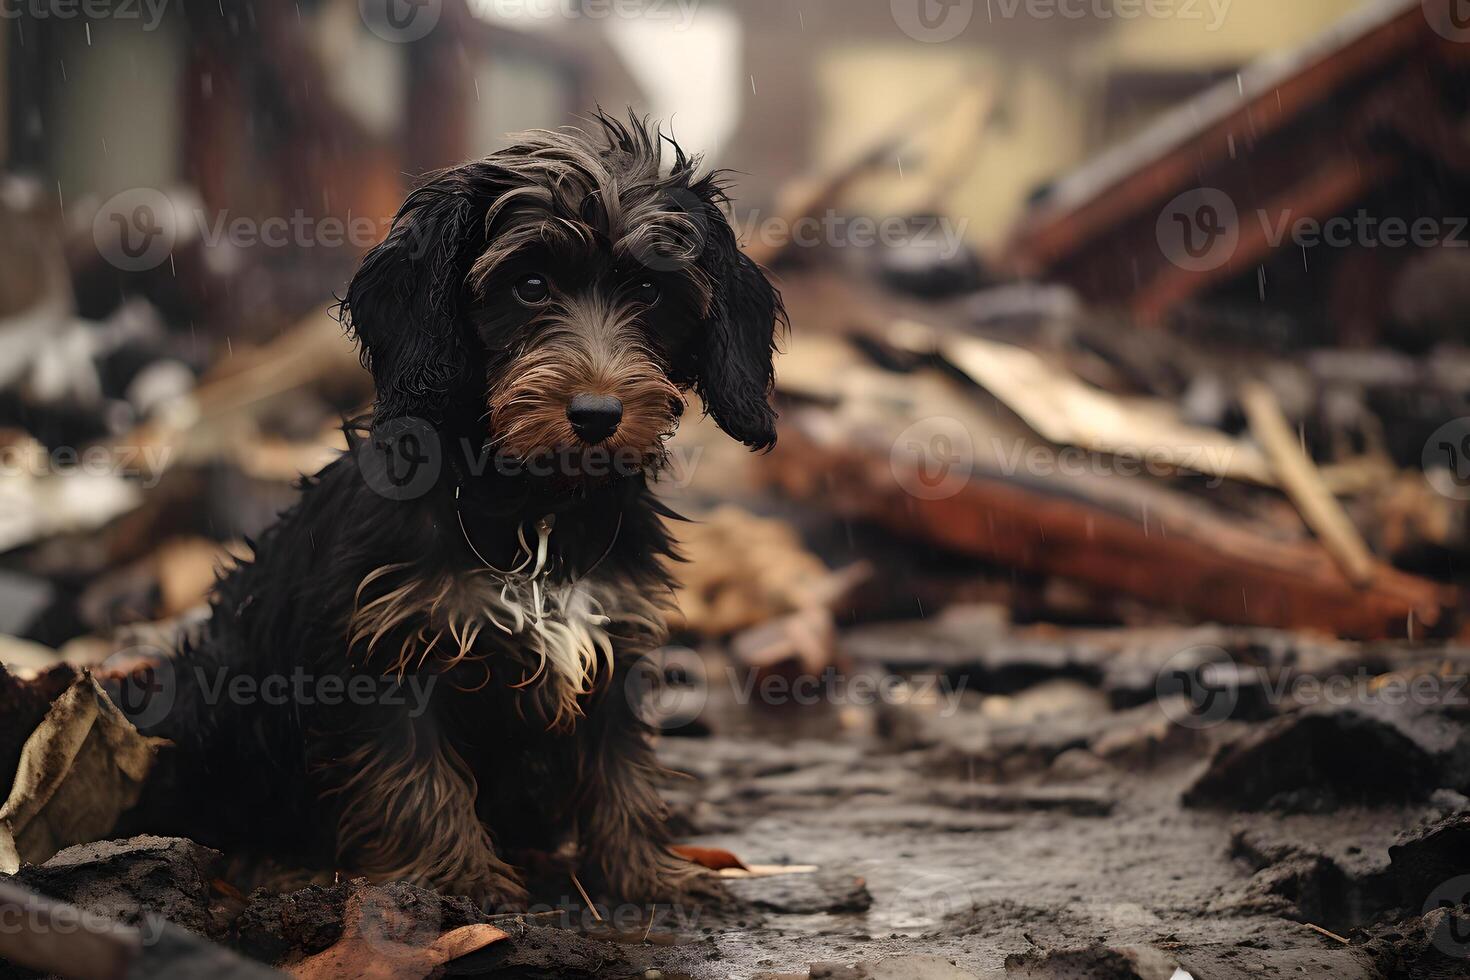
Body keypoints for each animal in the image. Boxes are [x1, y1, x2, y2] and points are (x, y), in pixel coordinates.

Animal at [129, 110, 782, 910]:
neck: (532, 506)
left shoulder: (614, 639)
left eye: (653, 296)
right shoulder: (385, 657)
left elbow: (619, 767)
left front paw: (645, 874)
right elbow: (415, 777)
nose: (598, 415)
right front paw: (458, 881)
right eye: (529, 285)